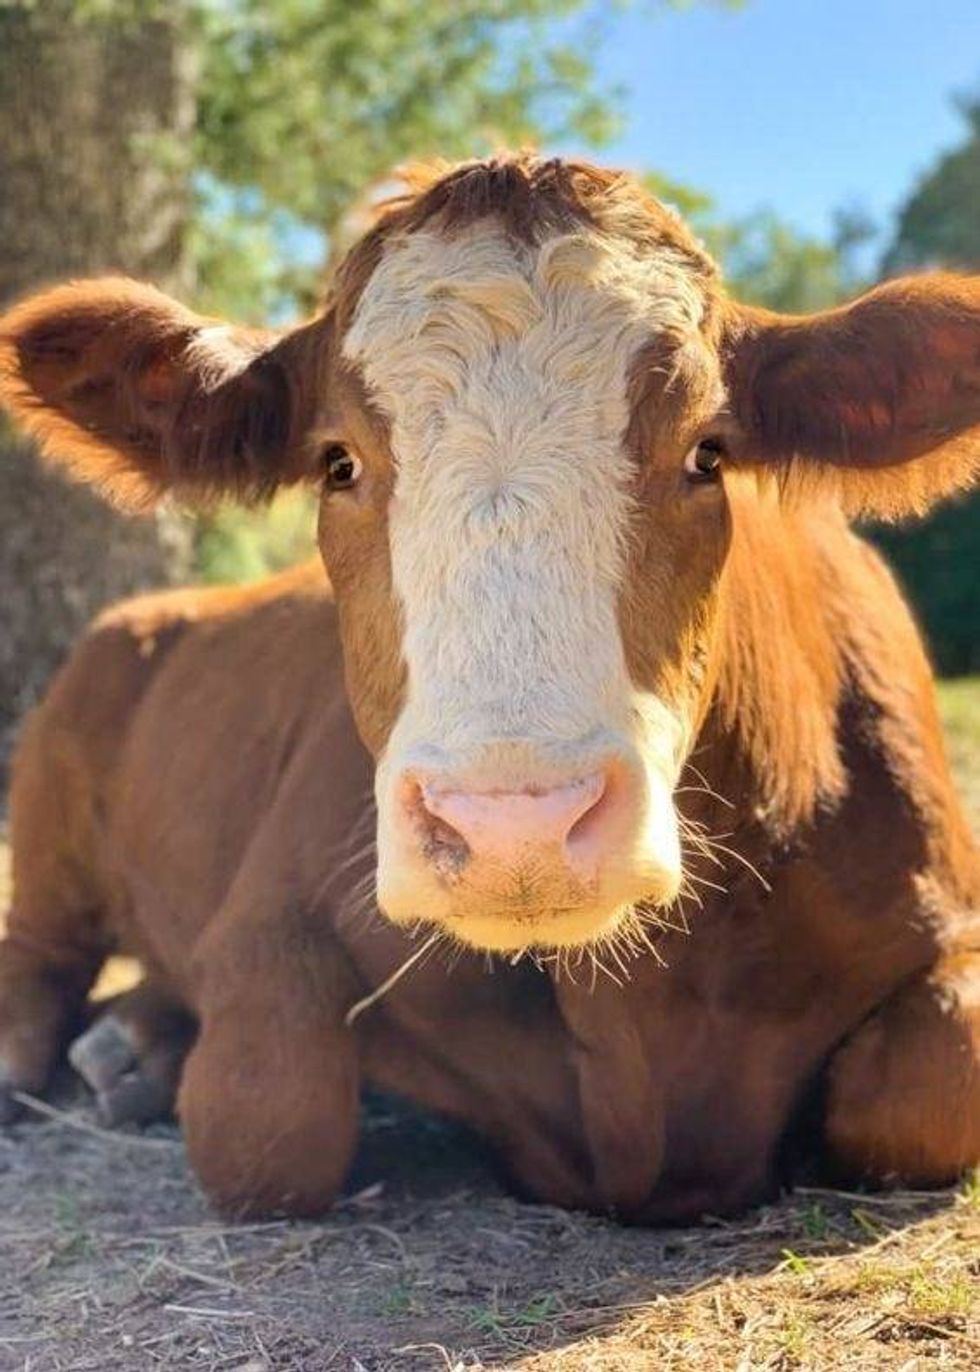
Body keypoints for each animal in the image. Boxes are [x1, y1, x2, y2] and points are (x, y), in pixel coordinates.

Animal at [0, 155, 978, 1223]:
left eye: (706, 453)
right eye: (337, 463)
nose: (520, 827)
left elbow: (929, 1089)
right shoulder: (267, 919)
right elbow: (269, 1125)